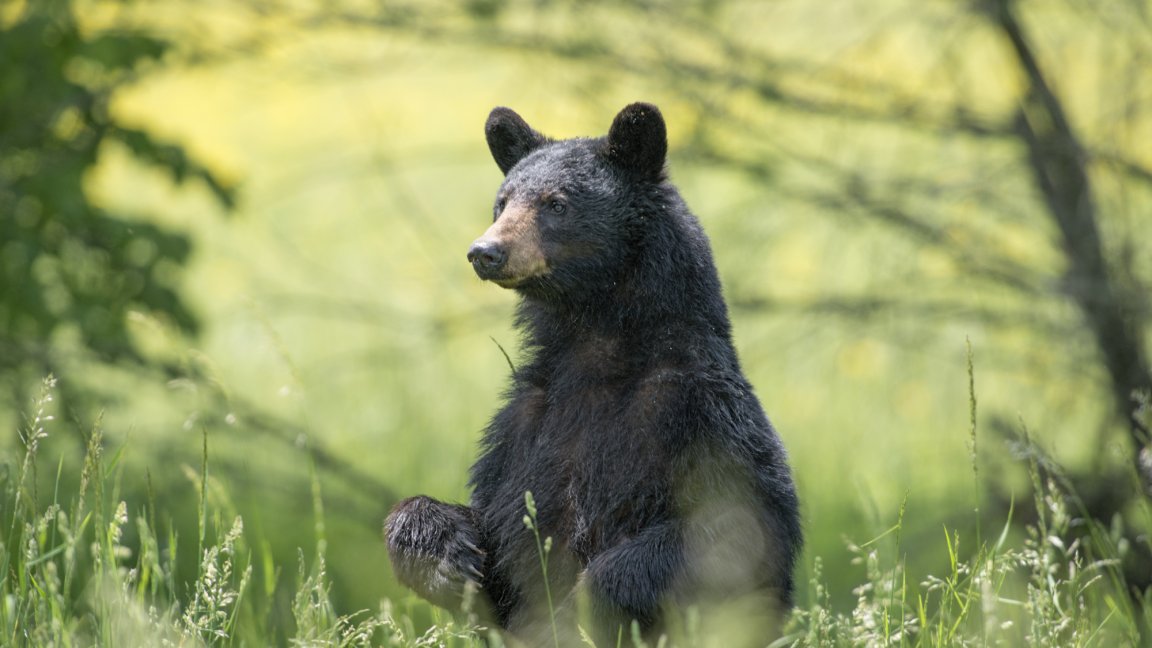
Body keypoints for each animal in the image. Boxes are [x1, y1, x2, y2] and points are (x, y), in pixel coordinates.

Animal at [385, 103, 801, 645]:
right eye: (502, 202)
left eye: (556, 203)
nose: (485, 251)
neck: (595, 351)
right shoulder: (522, 427)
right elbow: (496, 523)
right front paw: (446, 559)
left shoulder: (700, 411)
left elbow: (737, 526)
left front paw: (588, 604)